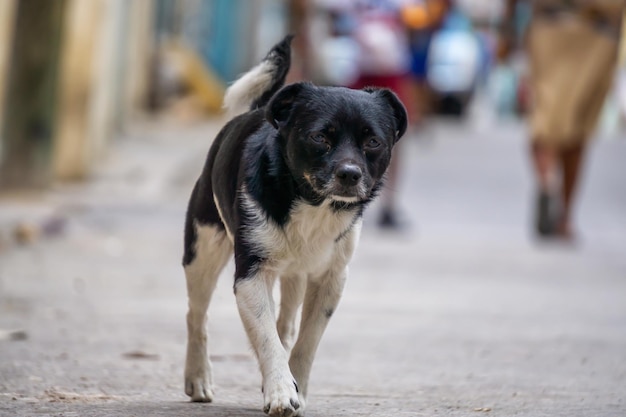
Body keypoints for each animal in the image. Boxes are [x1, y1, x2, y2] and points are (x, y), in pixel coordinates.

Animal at [182, 36, 404, 416]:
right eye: (320, 137)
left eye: (373, 141)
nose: (349, 174)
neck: (312, 203)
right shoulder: (252, 274)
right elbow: (266, 337)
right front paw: (281, 391)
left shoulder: (331, 279)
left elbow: (305, 341)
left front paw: (294, 386)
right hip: (202, 251)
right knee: (197, 315)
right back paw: (197, 378)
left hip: (295, 275)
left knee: (284, 325)